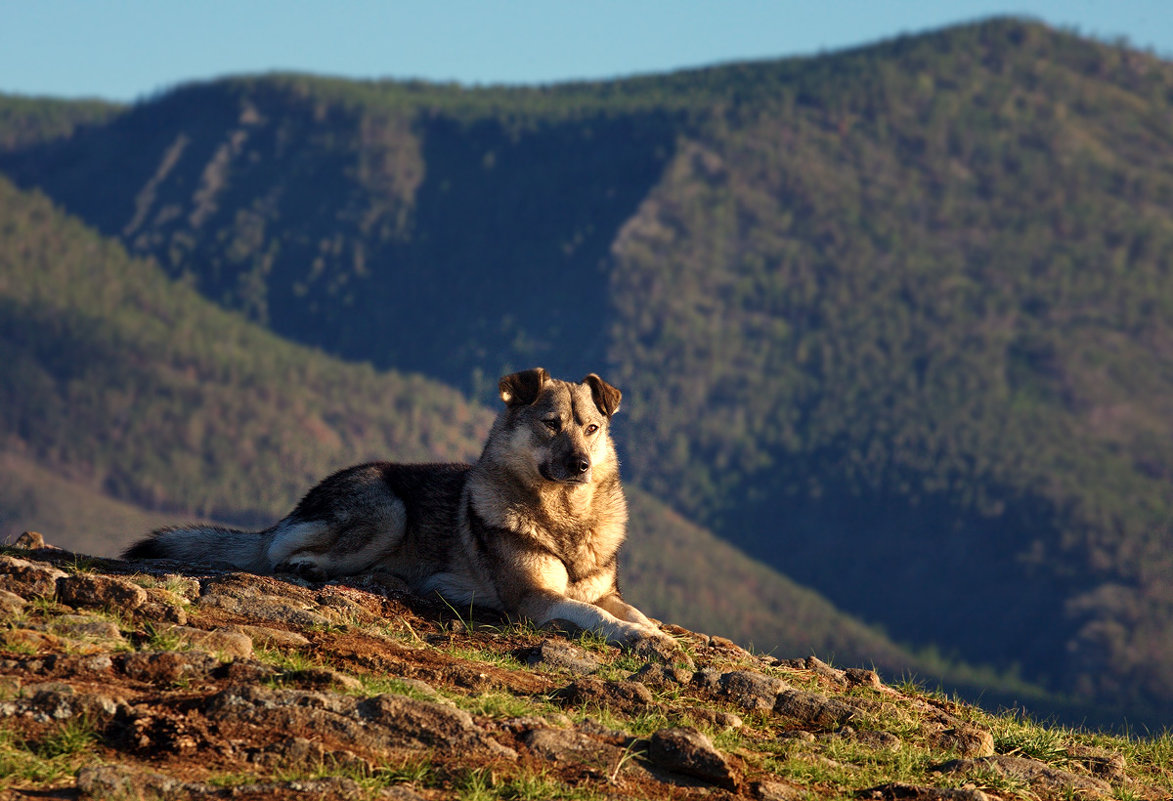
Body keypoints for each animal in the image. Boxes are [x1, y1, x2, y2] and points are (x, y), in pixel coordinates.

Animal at [123, 370, 675, 652]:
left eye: (592, 429)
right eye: (551, 423)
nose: (581, 464)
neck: (566, 519)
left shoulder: (604, 590)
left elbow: (632, 610)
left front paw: (653, 633)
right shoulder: (536, 599)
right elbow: (593, 615)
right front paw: (637, 638)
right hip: (389, 513)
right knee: (282, 554)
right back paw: (307, 566)